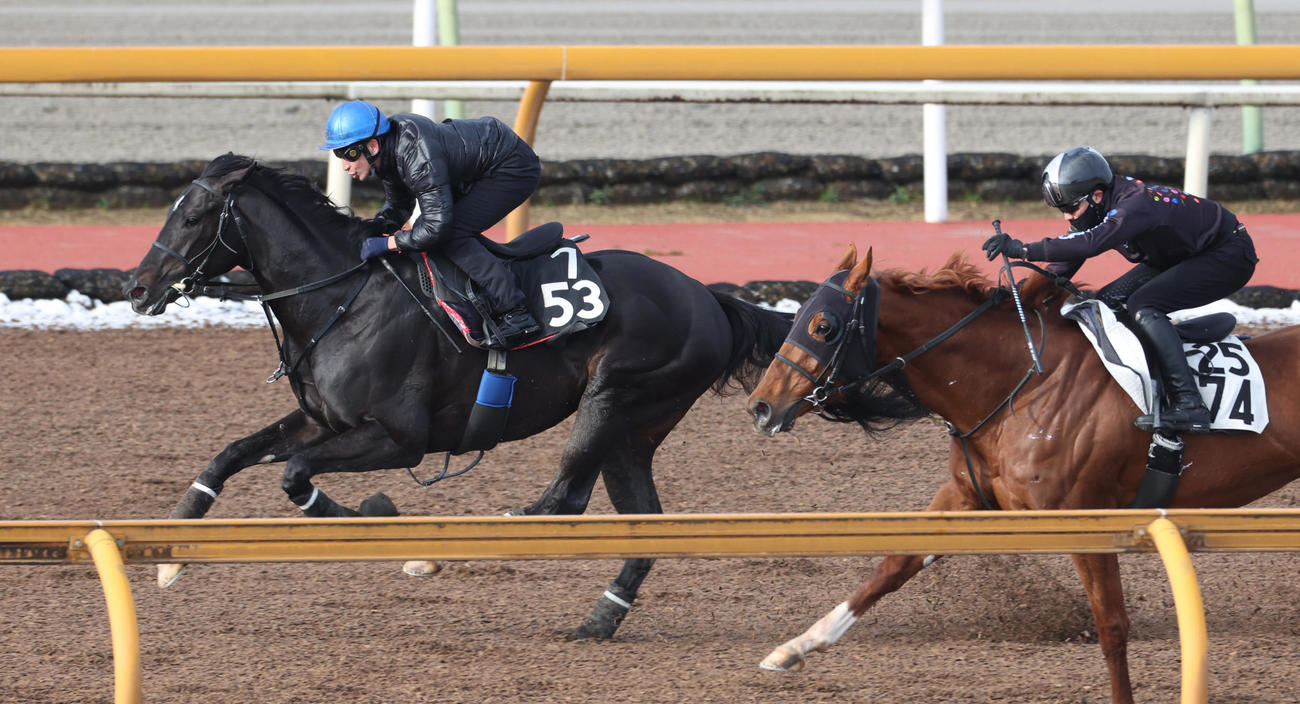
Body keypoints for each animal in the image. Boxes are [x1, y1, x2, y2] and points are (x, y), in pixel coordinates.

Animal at [122, 153, 791, 639]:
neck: (342, 298)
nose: (137, 288)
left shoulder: (400, 437)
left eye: (193, 217)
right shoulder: (324, 419)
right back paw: (601, 618)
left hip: (616, 398)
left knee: (568, 496)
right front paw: (172, 550)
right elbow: (233, 454)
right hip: (634, 434)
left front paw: (387, 526)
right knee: (643, 521)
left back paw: (499, 534)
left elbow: (295, 474)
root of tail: (709, 298)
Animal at [745, 244, 1300, 703]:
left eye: (824, 326)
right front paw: (794, 647)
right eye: (797, 317)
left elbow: (1112, 626)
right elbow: (892, 566)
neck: (1025, 383)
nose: (761, 406)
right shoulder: (965, 496)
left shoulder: (1085, 519)